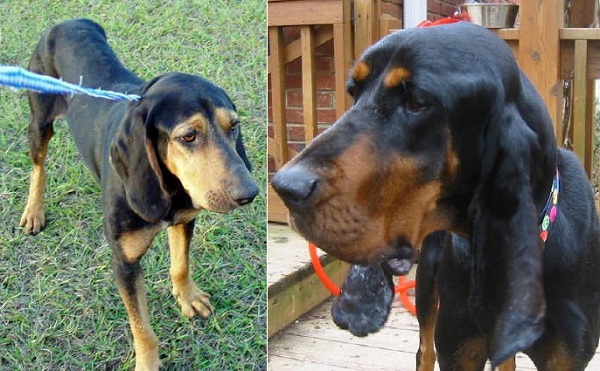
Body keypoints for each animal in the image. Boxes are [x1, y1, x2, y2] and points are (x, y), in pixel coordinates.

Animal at [18, 18, 258, 370]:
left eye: (234, 126)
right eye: (188, 136)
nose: (249, 193)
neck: (170, 187)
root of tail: (69, 22)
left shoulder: (183, 220)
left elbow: (181, 264)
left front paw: (188, 297)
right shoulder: (125, 264)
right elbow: (142, 329)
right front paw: (147, 363)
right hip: (40, 119)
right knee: (38, 167)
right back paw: (33, 211)